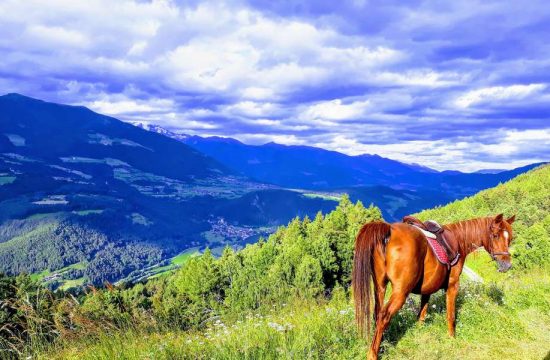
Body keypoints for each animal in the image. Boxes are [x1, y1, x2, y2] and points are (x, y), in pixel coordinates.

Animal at [354, 214, 516, 360]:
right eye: (495, 235)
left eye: (510, 238)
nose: (507, 265)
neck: (458, 240)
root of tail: (389, 230)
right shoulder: (452, 286)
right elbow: (450, 315)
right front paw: (451, 338)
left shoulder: (427, 290)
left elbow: (421, 314)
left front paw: (419, 334)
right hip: (400, 291)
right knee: (384, 316)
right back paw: (372, 354)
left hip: (380, 287)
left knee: (377, 314)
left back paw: (381, 345)